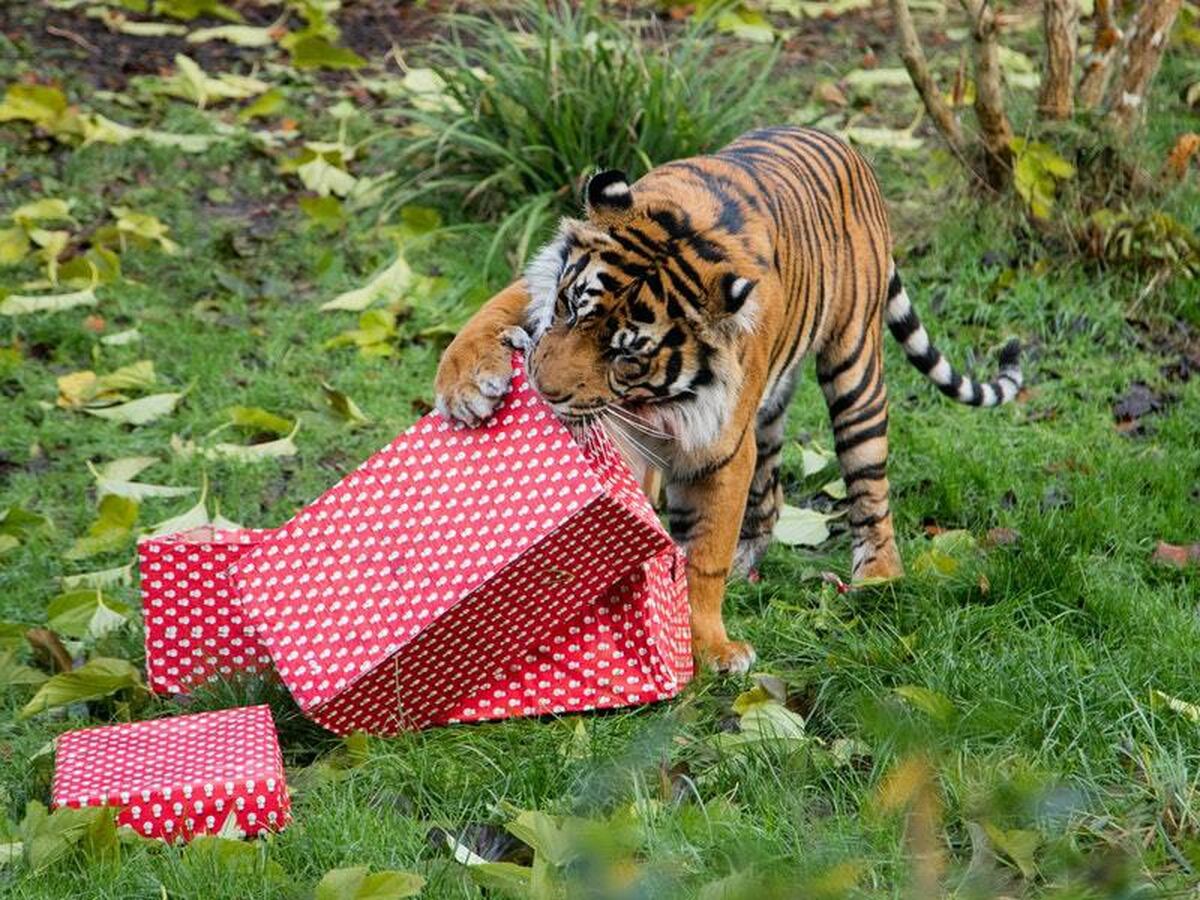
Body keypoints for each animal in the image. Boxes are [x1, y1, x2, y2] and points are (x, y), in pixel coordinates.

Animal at [434, 128, 1022, 676]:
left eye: (626, 355)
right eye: (571, 309)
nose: (546, 391)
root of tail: (841, 142)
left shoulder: (720, 449)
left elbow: (704, 558)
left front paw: (710, 648)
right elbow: (487, 314)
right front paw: (465, 387)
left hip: (854, 365)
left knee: (869, 481)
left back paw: (878, 578)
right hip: (769, 408)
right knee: (773, 491)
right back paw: (750, 561)